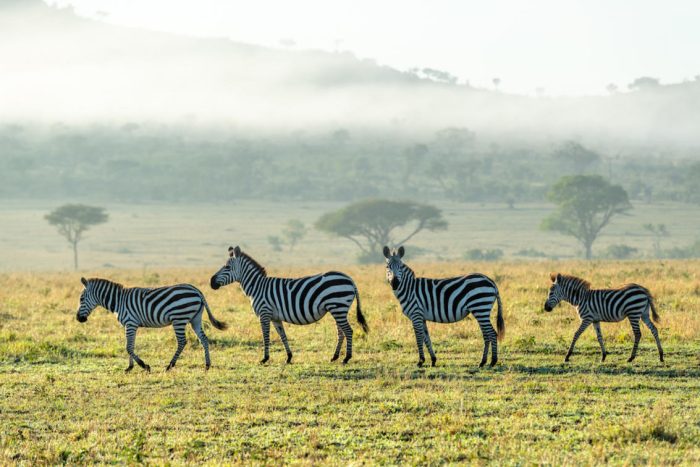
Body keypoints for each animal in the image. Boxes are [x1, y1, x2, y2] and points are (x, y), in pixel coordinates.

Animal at [77, 278, 228, 372]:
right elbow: (130, 346)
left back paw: (170, 365)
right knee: (204, 339)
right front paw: (130, 367)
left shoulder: (130, 323)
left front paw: (144, 366)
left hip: (178, 319)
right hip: (195, 319)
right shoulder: (130, 325)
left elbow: (128, 347)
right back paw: (207, 365)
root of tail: (197, 291)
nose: (79, 318)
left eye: (81, 299)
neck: (118, 301)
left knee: (182, 342)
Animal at [211, 245, 370, 366]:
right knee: (341, 332)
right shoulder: (275, 317)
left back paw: (346, 358)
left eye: (227, 267)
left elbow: (265, 336)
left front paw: (265, 358)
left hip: (338, 307)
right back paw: (335, 357)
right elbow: (283, 336)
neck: (257, 287)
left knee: (348, 331)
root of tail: (349, 279)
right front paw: (288, 357)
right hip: (337, 309)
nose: (211, 282)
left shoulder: (264, 313)